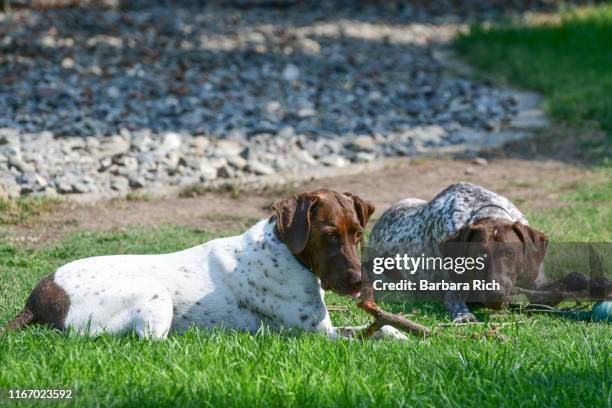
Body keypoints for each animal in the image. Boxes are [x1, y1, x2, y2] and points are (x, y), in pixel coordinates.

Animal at [5, 190, 406, 340]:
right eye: (328, 234)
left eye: (357, 232)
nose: (358, 284)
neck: (286, 250)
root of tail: (36, 298)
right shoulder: (318, 335)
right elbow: (363, 341)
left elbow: (380, 330)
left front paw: (399, 334)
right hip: (155, 295)